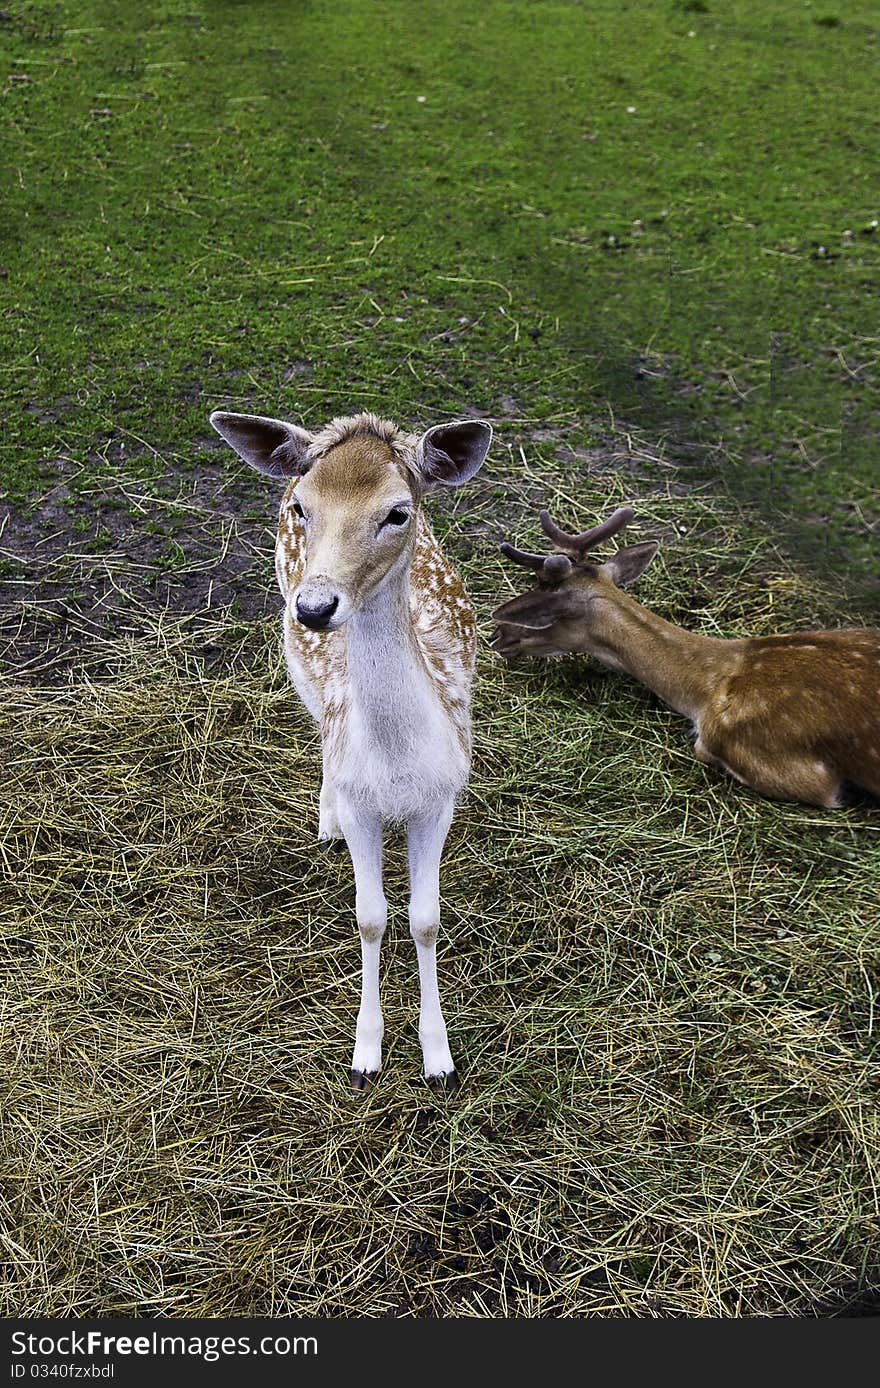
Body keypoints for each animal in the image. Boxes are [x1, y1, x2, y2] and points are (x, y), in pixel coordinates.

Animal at [209, 405, 491, 1088]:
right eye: (304, 506)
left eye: (397, 511)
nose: (315, 607)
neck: (394, 768)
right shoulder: (367, 805)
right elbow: (371, 916)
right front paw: (365, 1056)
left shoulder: (441, 796)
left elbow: (424, 919)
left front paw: (438, 1059)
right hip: (296, 663)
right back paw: (325, 815)